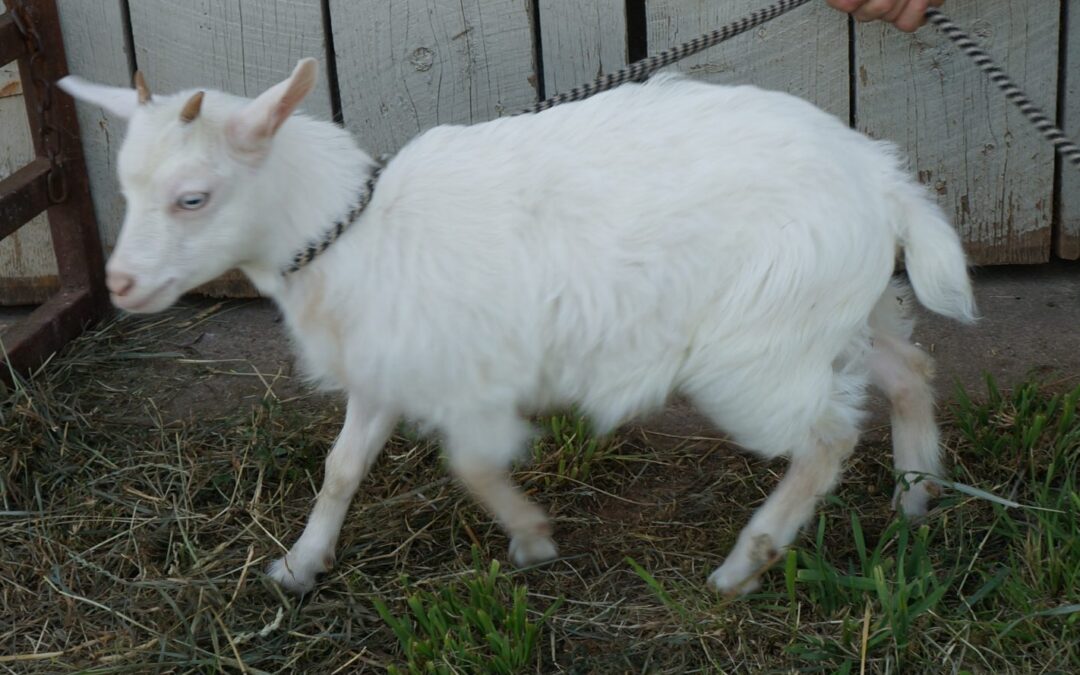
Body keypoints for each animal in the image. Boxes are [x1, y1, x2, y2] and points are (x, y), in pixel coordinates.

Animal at [58, 57, 976, 596]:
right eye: (125, 185)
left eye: (193, 197)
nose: (121, 284)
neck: (354, 231)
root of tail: (881, 179)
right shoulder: (388, 366)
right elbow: (341, 469)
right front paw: (297, 565)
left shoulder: (467, 382)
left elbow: (468, 462)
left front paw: (533, 540)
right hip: (829, 314)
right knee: (910, 370)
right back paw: (917, 494)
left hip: (756, 352)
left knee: (825, 438)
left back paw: (743, 563)